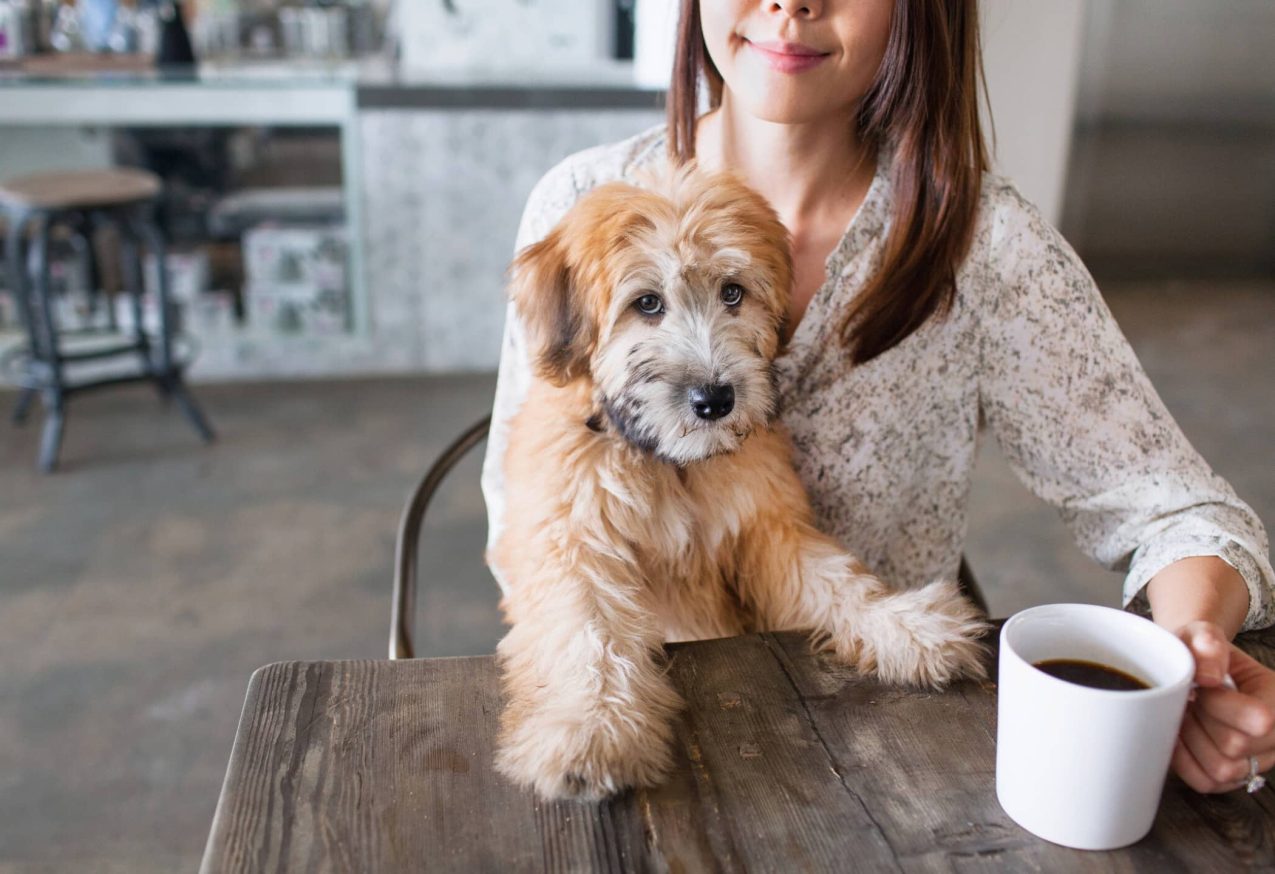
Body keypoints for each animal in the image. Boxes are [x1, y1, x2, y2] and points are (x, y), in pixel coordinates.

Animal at [487, 163, 984, 796]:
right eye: (647, 303)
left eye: (732, 292)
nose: (715, 399)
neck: (671, 464)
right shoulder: (573, 543)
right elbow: (588, 634)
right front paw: (592, 728)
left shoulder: (767, 529)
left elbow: (835, 580)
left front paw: (906, 627)